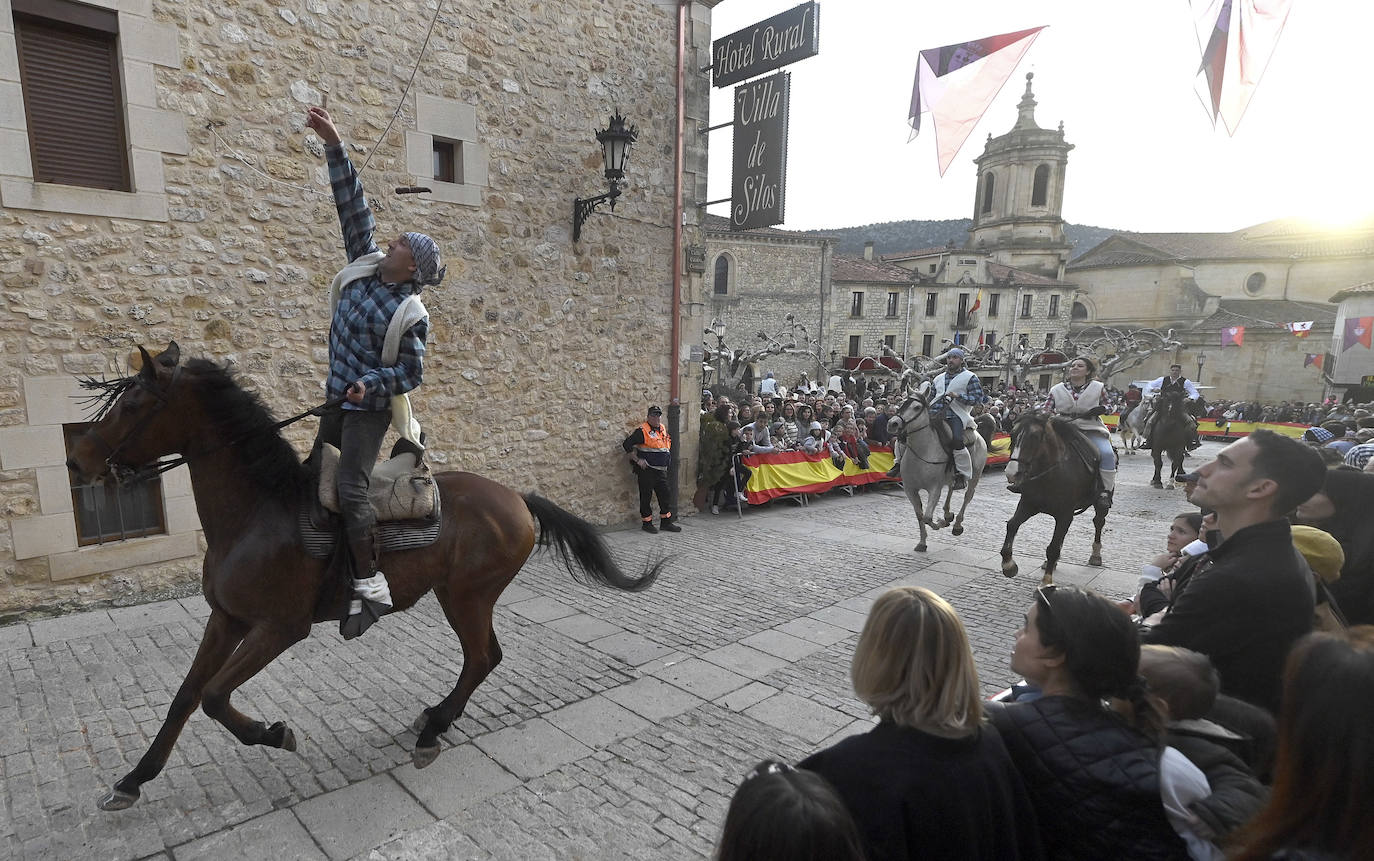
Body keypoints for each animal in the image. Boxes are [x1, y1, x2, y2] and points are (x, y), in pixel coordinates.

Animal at [66, 341, 662, 807]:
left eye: (134, 403)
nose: (78, 461)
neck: (260, 510)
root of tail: (516, 497)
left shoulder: (279, 629)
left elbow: (214, 696)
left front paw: (273, 733)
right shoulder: (226, 619)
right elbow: (187, 696)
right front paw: (135, 778)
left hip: (466, 597)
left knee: (482, 657)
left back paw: (433, 729)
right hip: (460, 596)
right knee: (483, 658)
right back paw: (435, 719)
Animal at [890, 389, 989, 552]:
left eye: (917, 407)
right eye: (902, 403)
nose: (893, 423)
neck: (923, 451)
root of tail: (978, 435)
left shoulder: (934, 489)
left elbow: (927, 517)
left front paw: (941, 523)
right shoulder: (910, 489)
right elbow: (920, 516)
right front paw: (922, 542)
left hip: (975, 476)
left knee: (967, 496)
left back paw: (956, 525)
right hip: (950, 478)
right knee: (951, 488)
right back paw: (948, 514)